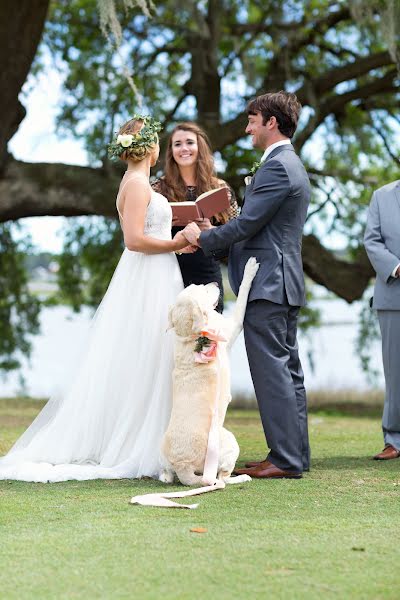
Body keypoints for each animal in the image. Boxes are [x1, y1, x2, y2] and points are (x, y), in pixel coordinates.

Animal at [161, 255, 260, 486]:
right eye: (202, 289)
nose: (215, 283)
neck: (190, 335)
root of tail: (183, 465)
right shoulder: (232, 326)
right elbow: (242, 298)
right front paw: (250, 269)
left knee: (167, 476)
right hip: (228, 441)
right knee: (222, 479)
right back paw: (242, 477)